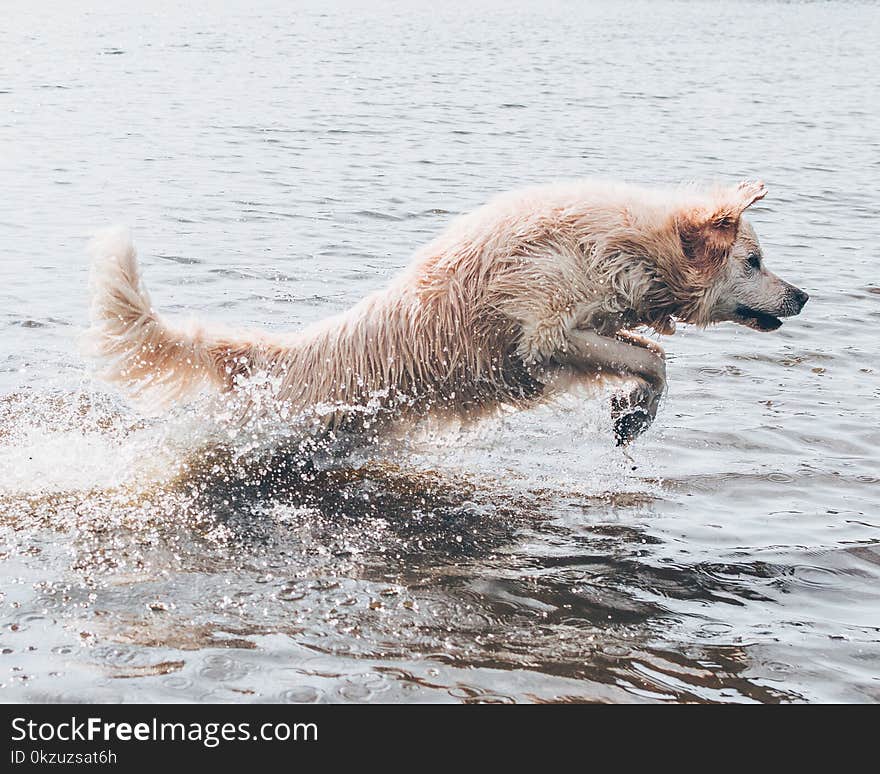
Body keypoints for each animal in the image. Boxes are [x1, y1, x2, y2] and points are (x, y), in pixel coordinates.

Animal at [86, 180, 808, 446]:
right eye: (754, 261)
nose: (803, 296)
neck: (626, 244)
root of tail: (280, 355)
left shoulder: (587, 327)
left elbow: (651, 354)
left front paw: (634, 413)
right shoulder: (546, 332)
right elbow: (653, 359)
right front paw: (635, 411)